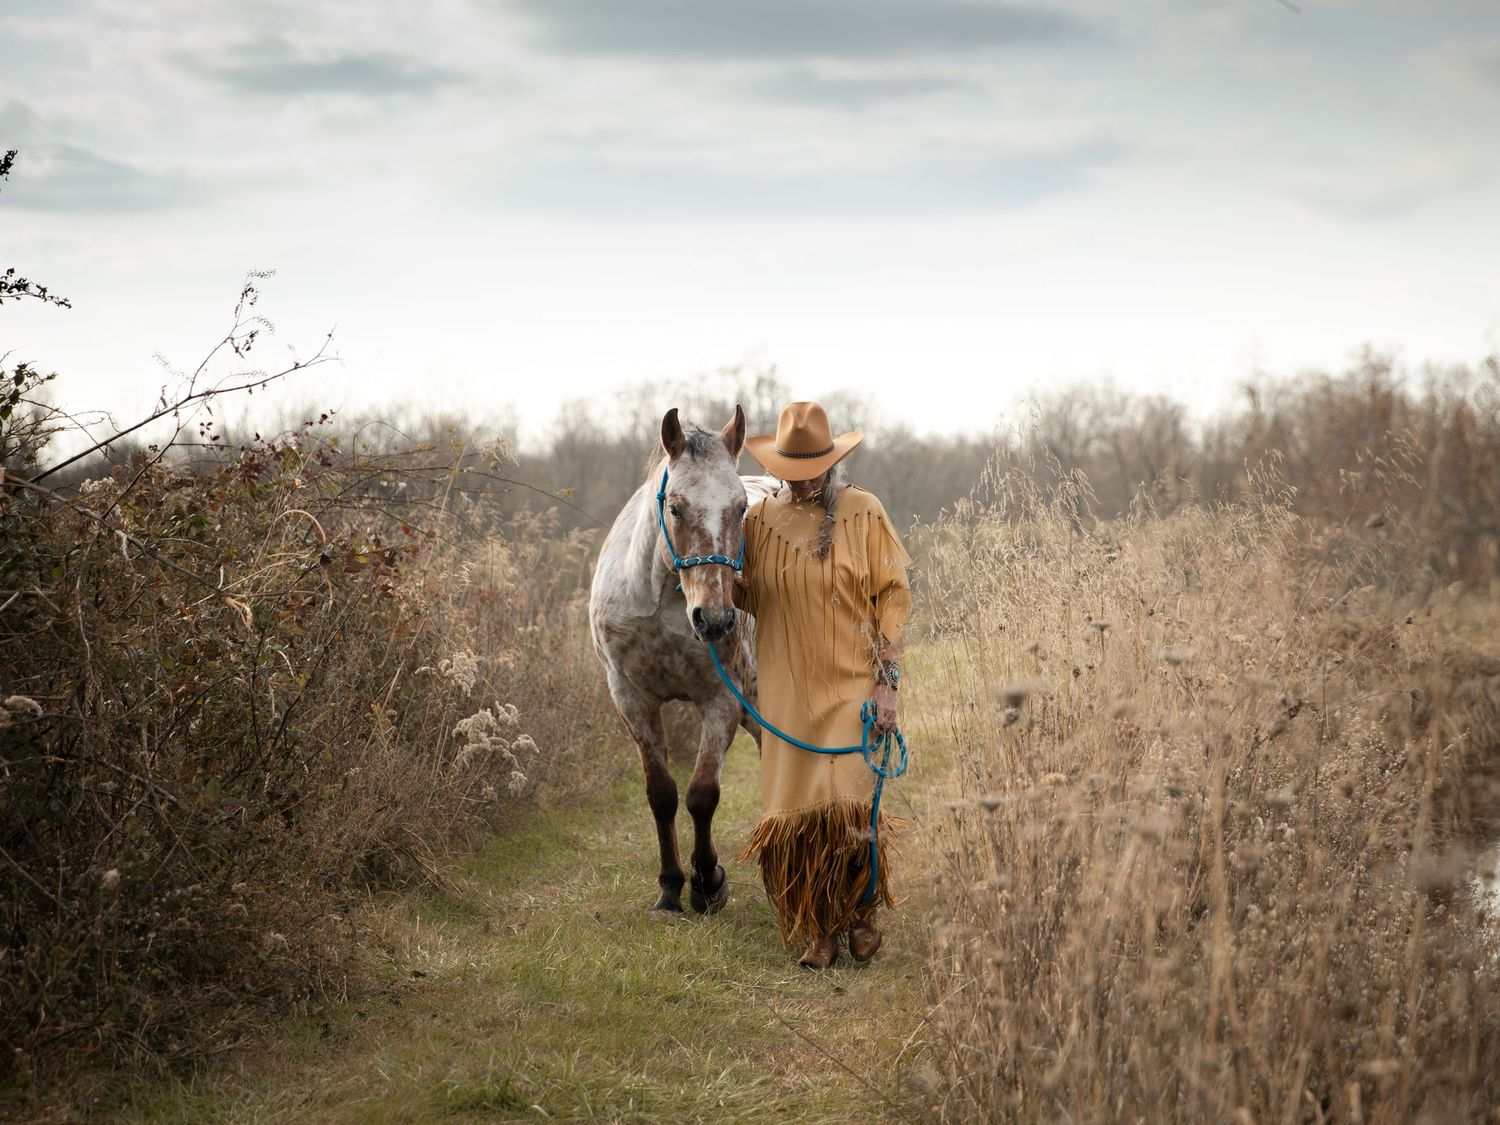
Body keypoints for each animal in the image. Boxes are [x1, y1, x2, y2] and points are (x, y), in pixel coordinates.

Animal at [589, 405, 776, 913]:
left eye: (741, 508)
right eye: (675, 507)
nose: (713, 619)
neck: (664, 604)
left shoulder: (721, 700)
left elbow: (702, 795)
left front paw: (709, 882)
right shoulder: (631, 698)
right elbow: (662, 794)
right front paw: (671, 887)